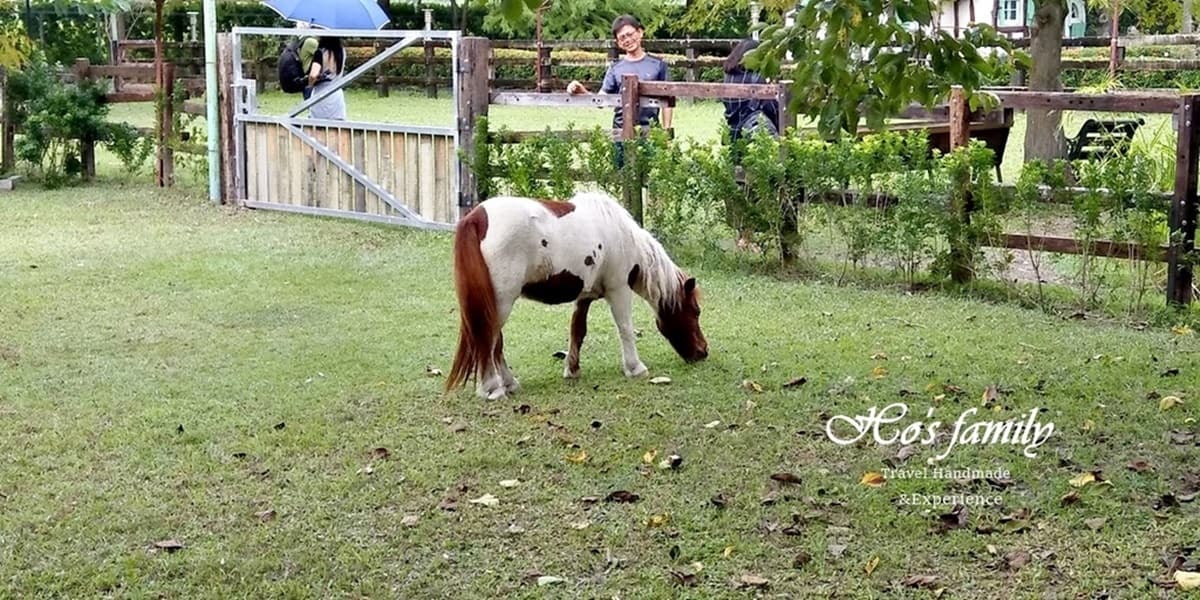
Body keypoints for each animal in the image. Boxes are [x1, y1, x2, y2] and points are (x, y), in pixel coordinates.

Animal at [445, 191, 709, 400]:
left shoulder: (585, 295)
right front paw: (635, 368)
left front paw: (572, 369)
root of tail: (477, 217)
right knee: (489, 342)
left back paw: (509, 383)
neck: (621, 235)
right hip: (500, 303)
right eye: (695, 311)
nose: (703, 352)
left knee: (494, 344)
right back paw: (493, 388)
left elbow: (577, 331)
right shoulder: (619, 289)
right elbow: (625, 328)